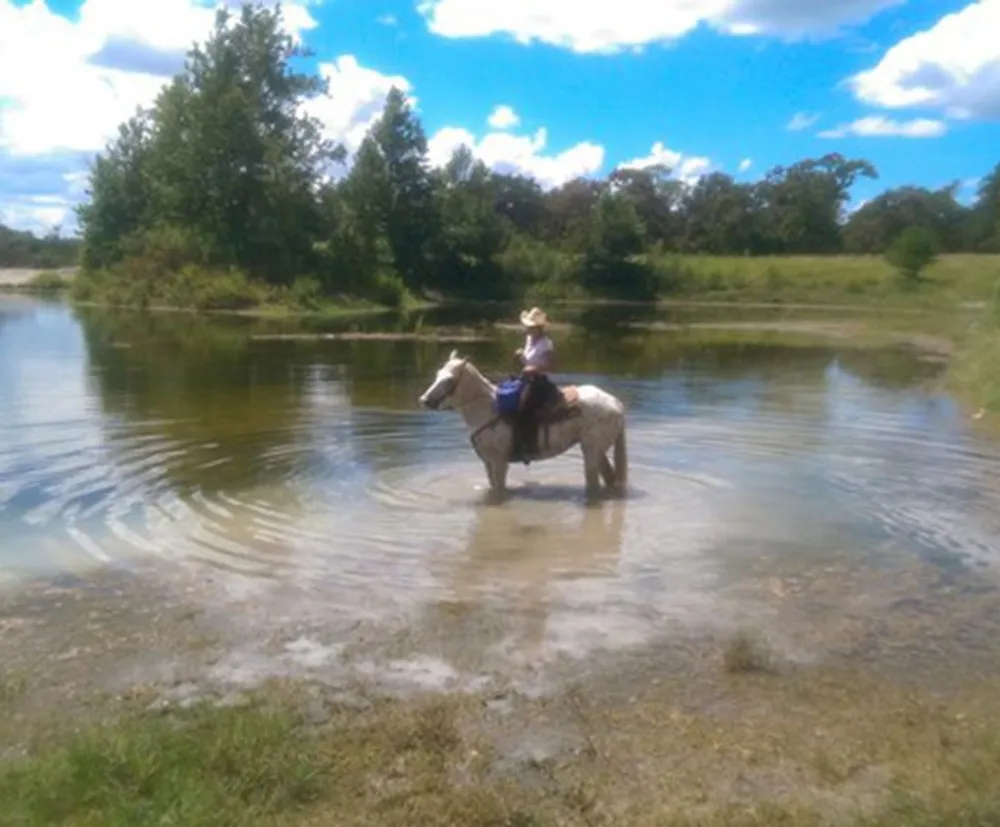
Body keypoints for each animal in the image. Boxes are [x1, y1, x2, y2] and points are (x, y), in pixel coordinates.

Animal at [418, 350, 628, 498]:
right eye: (438, 374)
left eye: (449, 379)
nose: (424, 400)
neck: (487, 409)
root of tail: (616, 403)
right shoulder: (488, 463)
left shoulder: (499, 462)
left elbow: (500, 491)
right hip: (598, 452)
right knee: (610, 479)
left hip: (591, 452)